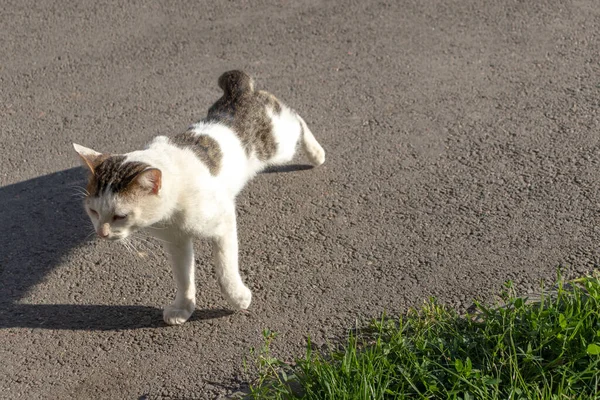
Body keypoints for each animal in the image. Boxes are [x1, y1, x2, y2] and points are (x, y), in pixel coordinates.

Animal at [72, 69, 326, 324]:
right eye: (93, 211)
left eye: (120, 216)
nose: (101, 233)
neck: (171, 213)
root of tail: (240, 92)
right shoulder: (176, 241)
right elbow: (183, 277)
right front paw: (183, 308)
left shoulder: (223, 221)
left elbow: (224, 268)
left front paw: (238, 298)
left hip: (279, 146)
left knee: (297, 119)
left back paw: (316, 153)